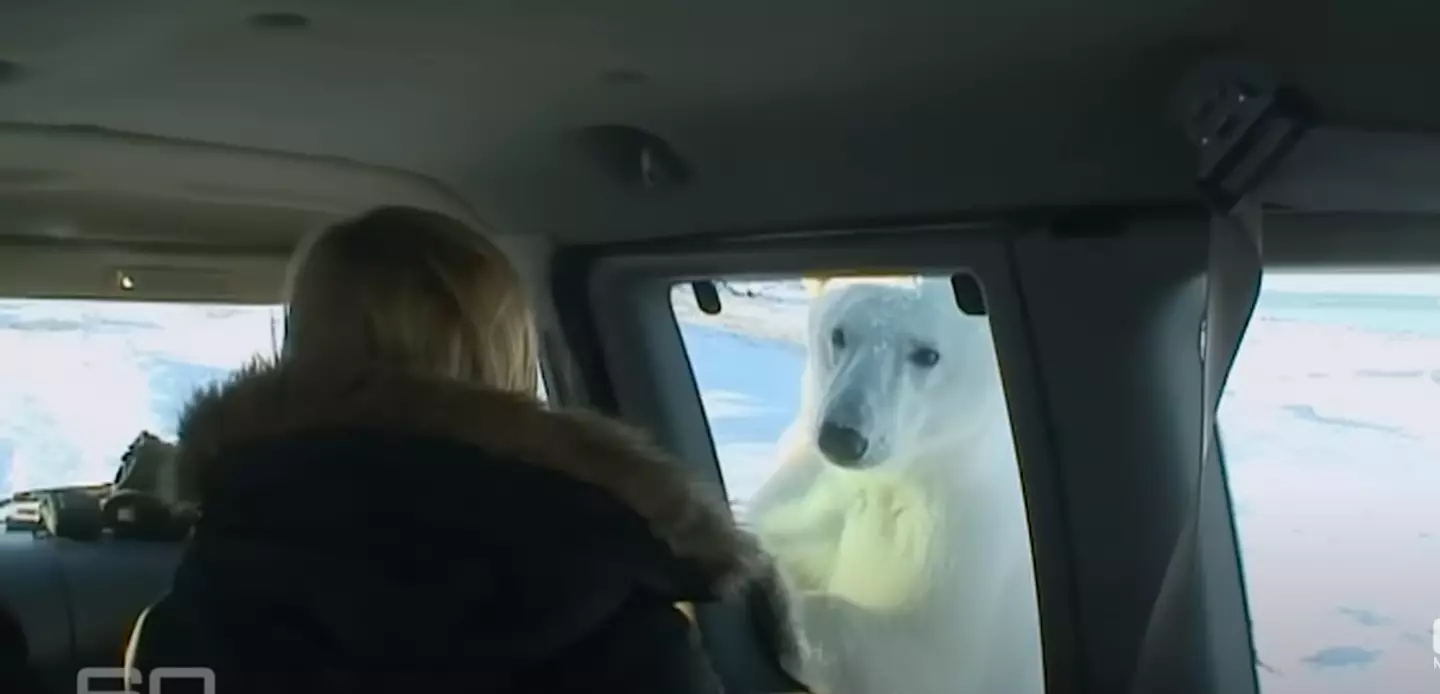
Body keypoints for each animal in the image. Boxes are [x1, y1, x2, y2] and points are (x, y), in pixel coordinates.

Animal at [748, 275, 1042, 694]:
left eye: (927, 354)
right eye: (839, 334)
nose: (841, 436)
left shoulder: (961, 554)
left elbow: (920, 659)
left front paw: (782, 595)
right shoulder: (807, 495)